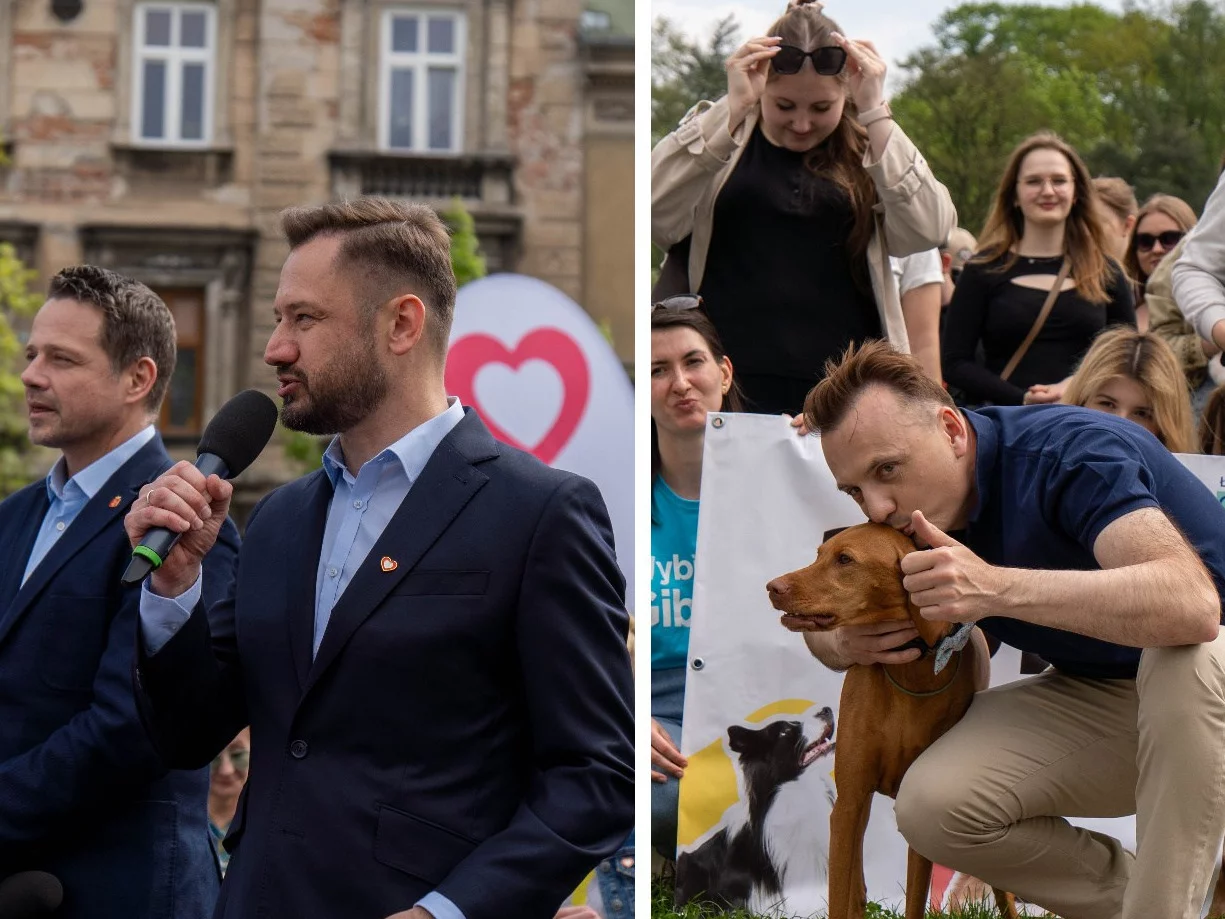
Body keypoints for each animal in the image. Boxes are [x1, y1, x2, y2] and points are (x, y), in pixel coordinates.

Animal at [764, 524, 1014, 919]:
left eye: (845, 559)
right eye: (819, 554)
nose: (773, 587)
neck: (910, 671)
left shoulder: (916, 829)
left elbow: (915, 901)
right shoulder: (848, 804)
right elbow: (840, 894)